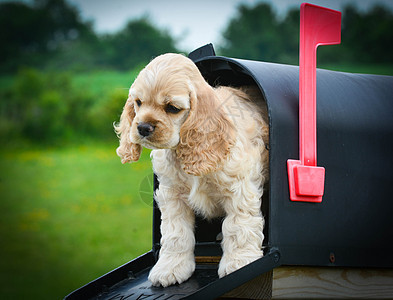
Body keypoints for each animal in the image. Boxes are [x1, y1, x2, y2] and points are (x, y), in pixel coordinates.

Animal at [115, 52, 268, 288]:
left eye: (172, 108)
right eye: (138, 103)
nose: (142, 127)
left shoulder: (239, 189)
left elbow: (238, 226)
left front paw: (239, 263)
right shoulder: (172, 195)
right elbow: (176, 234)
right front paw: (170, 268)